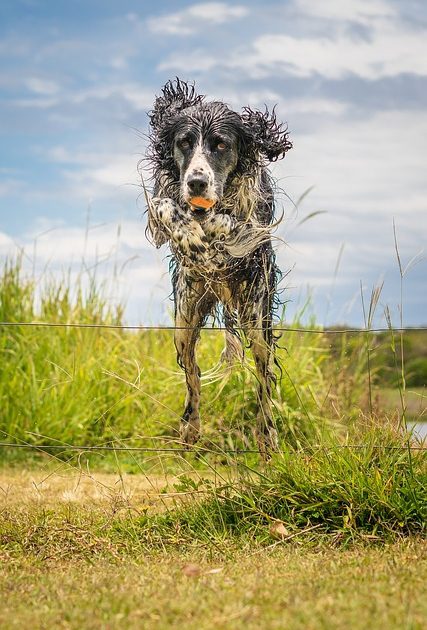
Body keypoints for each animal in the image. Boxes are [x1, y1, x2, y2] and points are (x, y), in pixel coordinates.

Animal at [145, 79, 292, 456]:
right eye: (184, 142)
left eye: (221, 144)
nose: (197, 182)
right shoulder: (162, 197)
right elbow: (164, 205)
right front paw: (188, 233)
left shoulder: (255, 223)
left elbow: (232, 222)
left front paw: (211, 226)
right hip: (185, 319)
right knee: (192, 374)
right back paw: (191, 427)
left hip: (256, 321)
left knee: (263, 382)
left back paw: (268, 438)